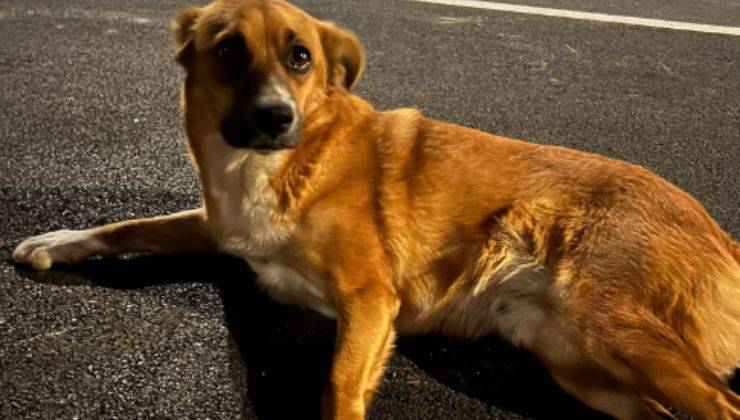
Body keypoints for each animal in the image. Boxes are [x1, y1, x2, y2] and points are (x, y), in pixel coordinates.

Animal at [10, 0, 736, 420]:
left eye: (300, 56)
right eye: (228, 50)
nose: (276, 118)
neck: (288, 164)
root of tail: (720, 234)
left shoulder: (370, 298)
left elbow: (336, 388)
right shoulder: (221, 227)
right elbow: (124, 225)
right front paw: (56, 240)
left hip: (609, 323)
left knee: (722, 405)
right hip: (579, 364)